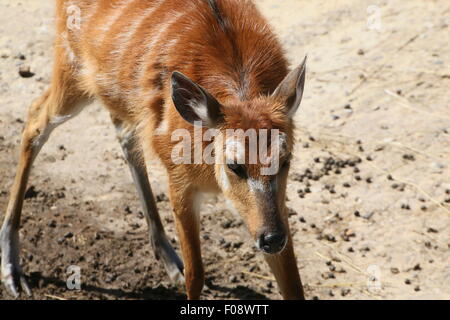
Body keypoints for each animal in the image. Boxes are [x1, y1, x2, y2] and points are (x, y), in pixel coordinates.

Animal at [0, 0, 306, 300]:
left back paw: (169, 260)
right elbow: (196, 275)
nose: (272, 239)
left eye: (285, 159)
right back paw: (13, 271)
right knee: (35, 117)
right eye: (234, 165)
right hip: (71, 67)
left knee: (123, 133)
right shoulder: (179, 182)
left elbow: (293, 285)